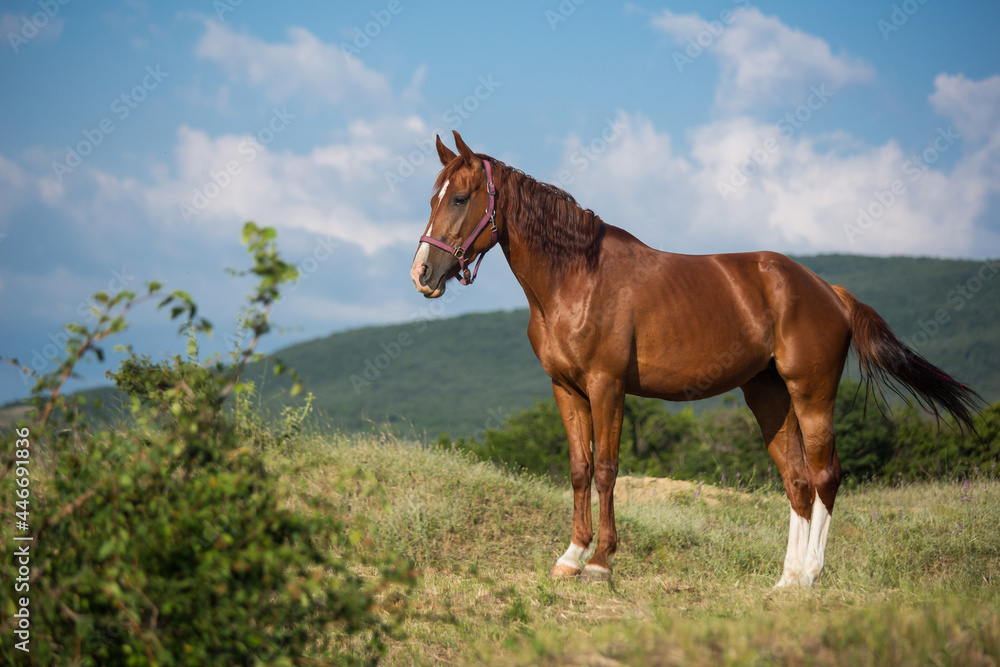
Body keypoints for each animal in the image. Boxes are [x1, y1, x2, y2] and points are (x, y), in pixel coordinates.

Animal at [410, 132, 980, 588]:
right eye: (431, 197)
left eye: (459, 197)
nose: (422, 274)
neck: (577, 279)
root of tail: (829, 292)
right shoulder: (565, 388)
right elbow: (578, 469)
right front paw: (570, 557)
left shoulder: (606, 386)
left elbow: (607, 470)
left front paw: (600, 563)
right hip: (769, 396)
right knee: (797, 482)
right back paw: (787, 581)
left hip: (812, 394)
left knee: (825, 477)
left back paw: (812, 575)